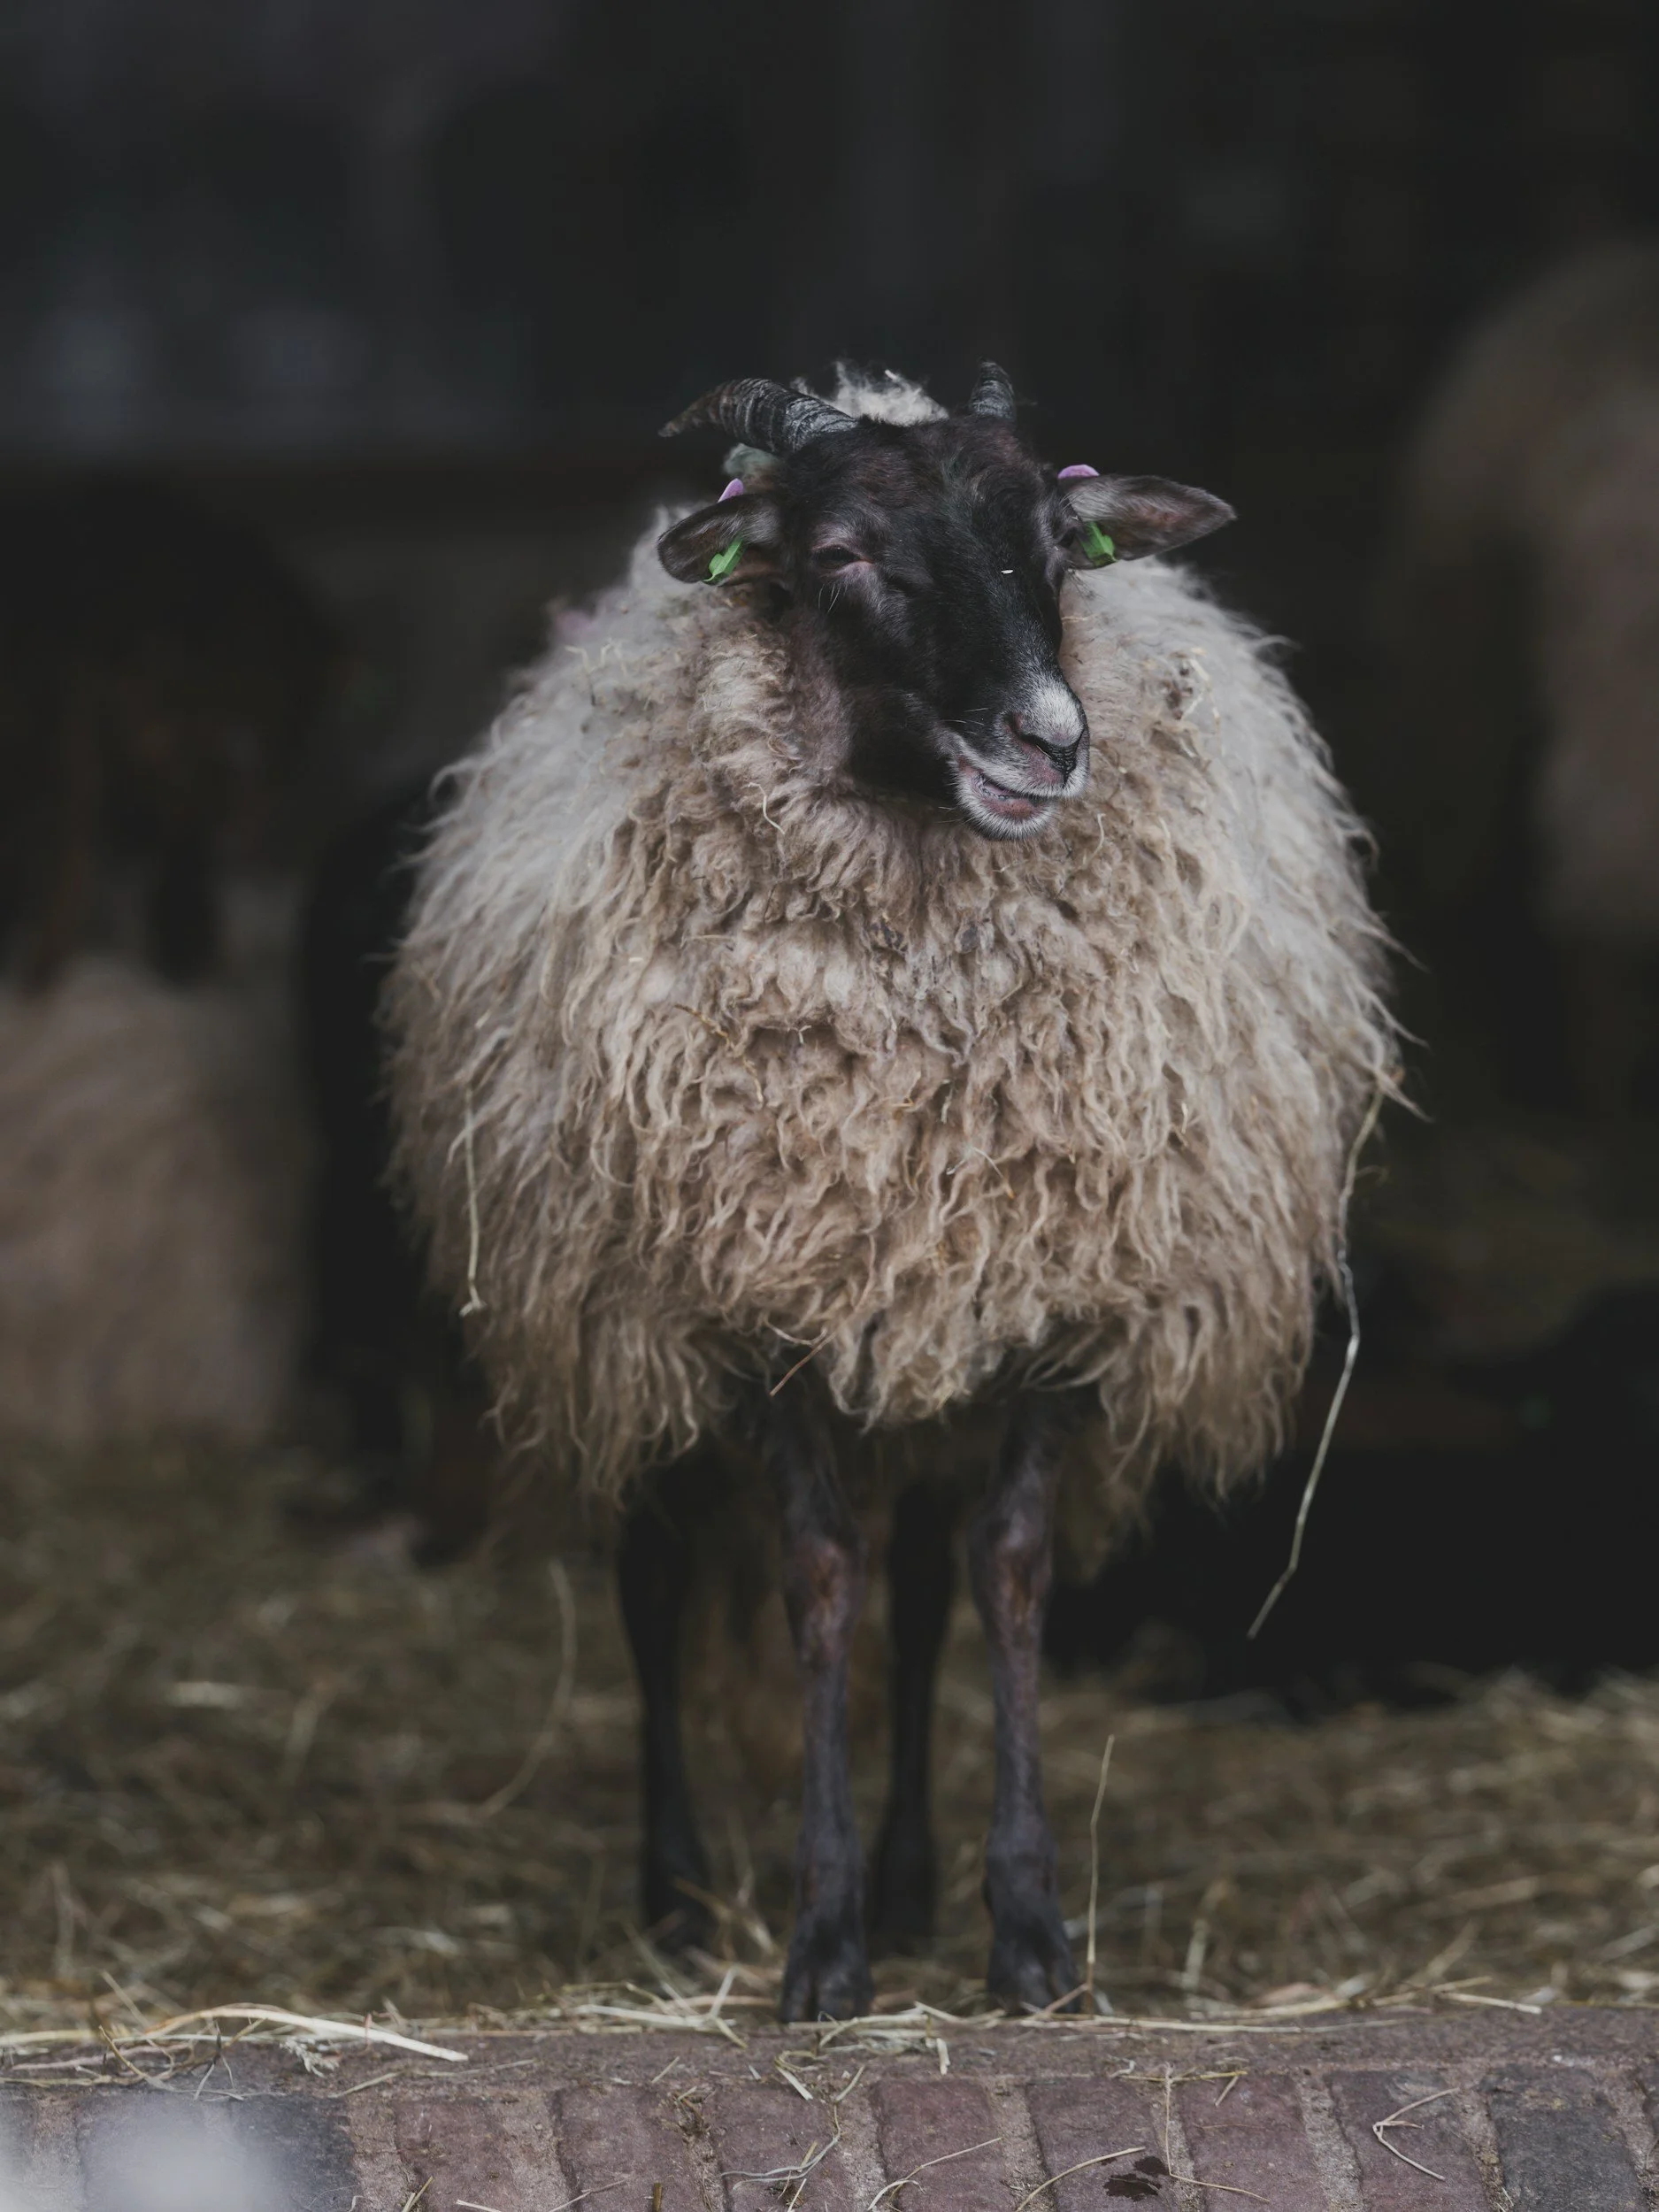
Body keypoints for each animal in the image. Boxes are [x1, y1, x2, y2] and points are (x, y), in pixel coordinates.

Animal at [388, 363, 1394, 2018]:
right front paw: (823, 1939)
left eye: (1055, 539)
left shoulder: (1054, 1298)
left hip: (920, 1373)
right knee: (657, 1584)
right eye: (841, 555)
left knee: (924, 1592)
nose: (1050, 739)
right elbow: (816, 1580)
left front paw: (1025, 1927)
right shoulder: (751, 1304)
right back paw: (675, 1893)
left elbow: (1006, 1576)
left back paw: (917, 1871)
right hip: (622, 1336)